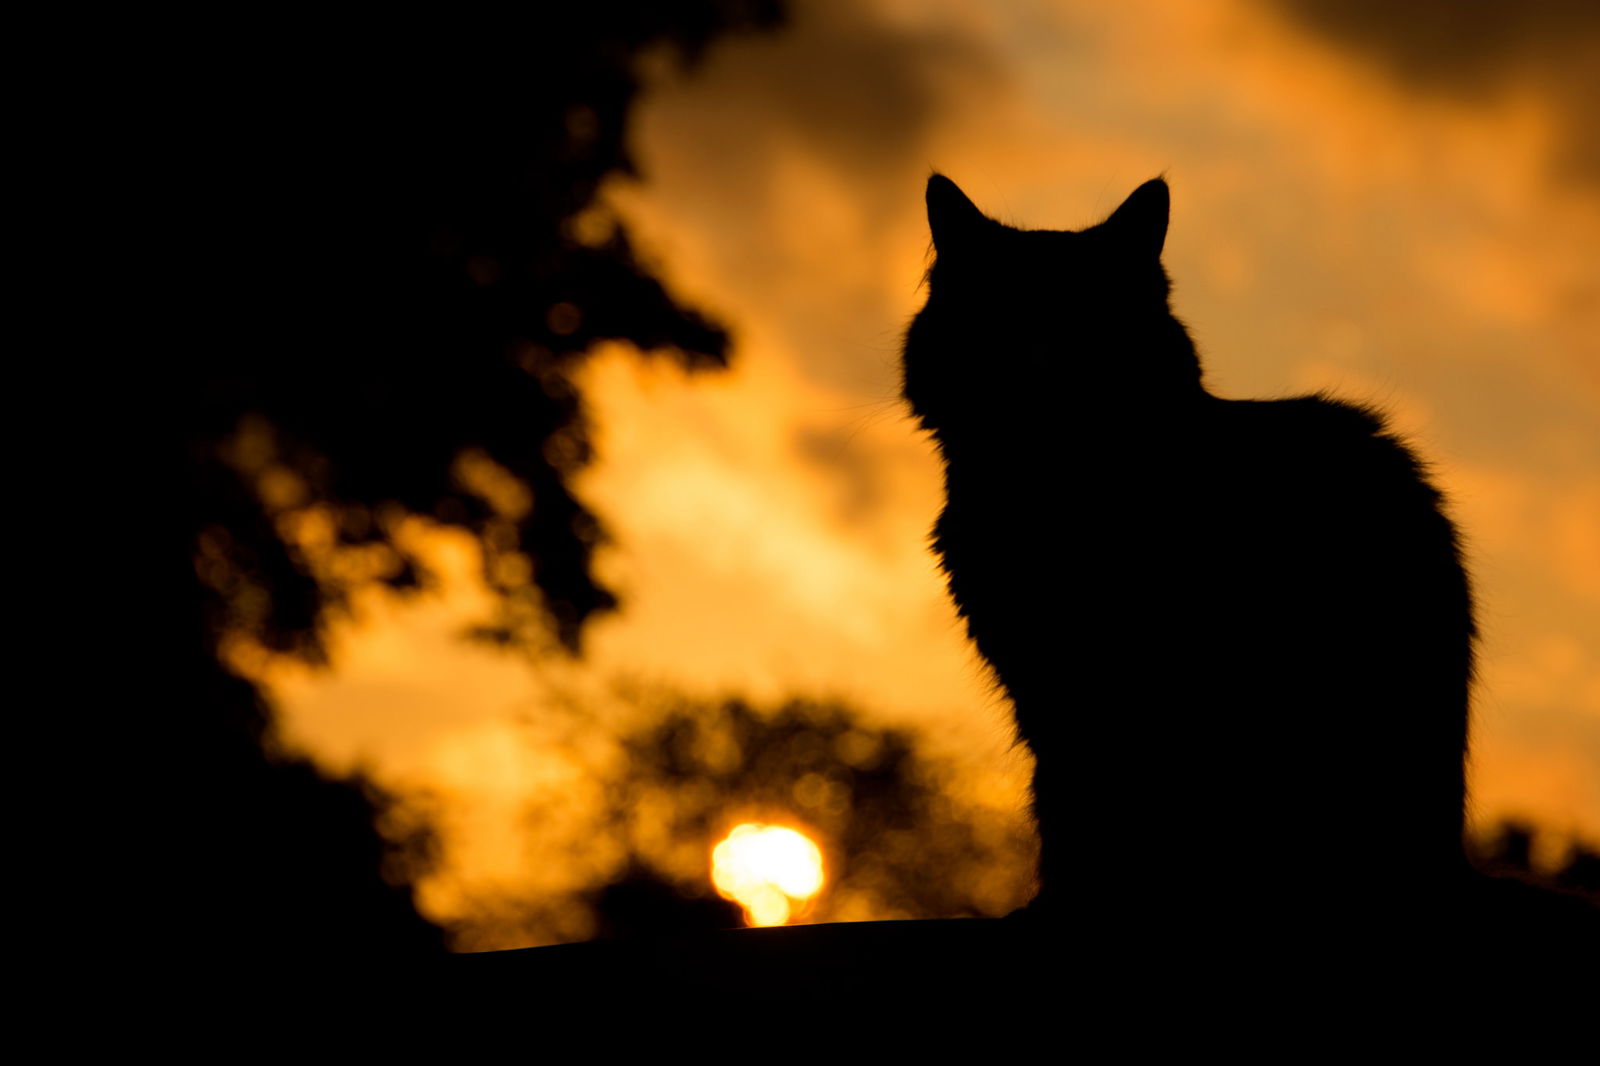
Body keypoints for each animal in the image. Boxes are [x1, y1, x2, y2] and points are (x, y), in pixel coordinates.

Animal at [902, 172, 1472, 953]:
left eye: (1087, 325)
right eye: (1003, 321)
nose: (1042, 365)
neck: (1050, 481)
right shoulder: (1047, 693)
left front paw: (1072, 908)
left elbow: (1078, 816)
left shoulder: (1090, 700)